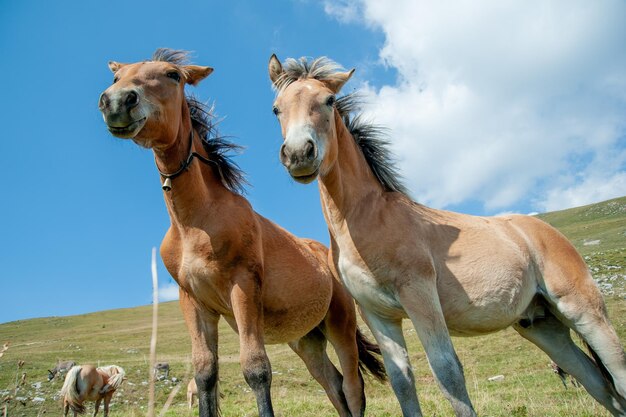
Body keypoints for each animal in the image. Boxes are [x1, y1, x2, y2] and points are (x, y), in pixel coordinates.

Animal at [96, 49, 386, 416]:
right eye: (116, 78)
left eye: (173, 75)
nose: (118, 101)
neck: (194, 223)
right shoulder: (193, 301)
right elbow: (205, 373)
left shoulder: (243, 285)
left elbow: (256, 369)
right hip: (305, 338)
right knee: (333, 385)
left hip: (340, 323)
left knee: (352, 386)